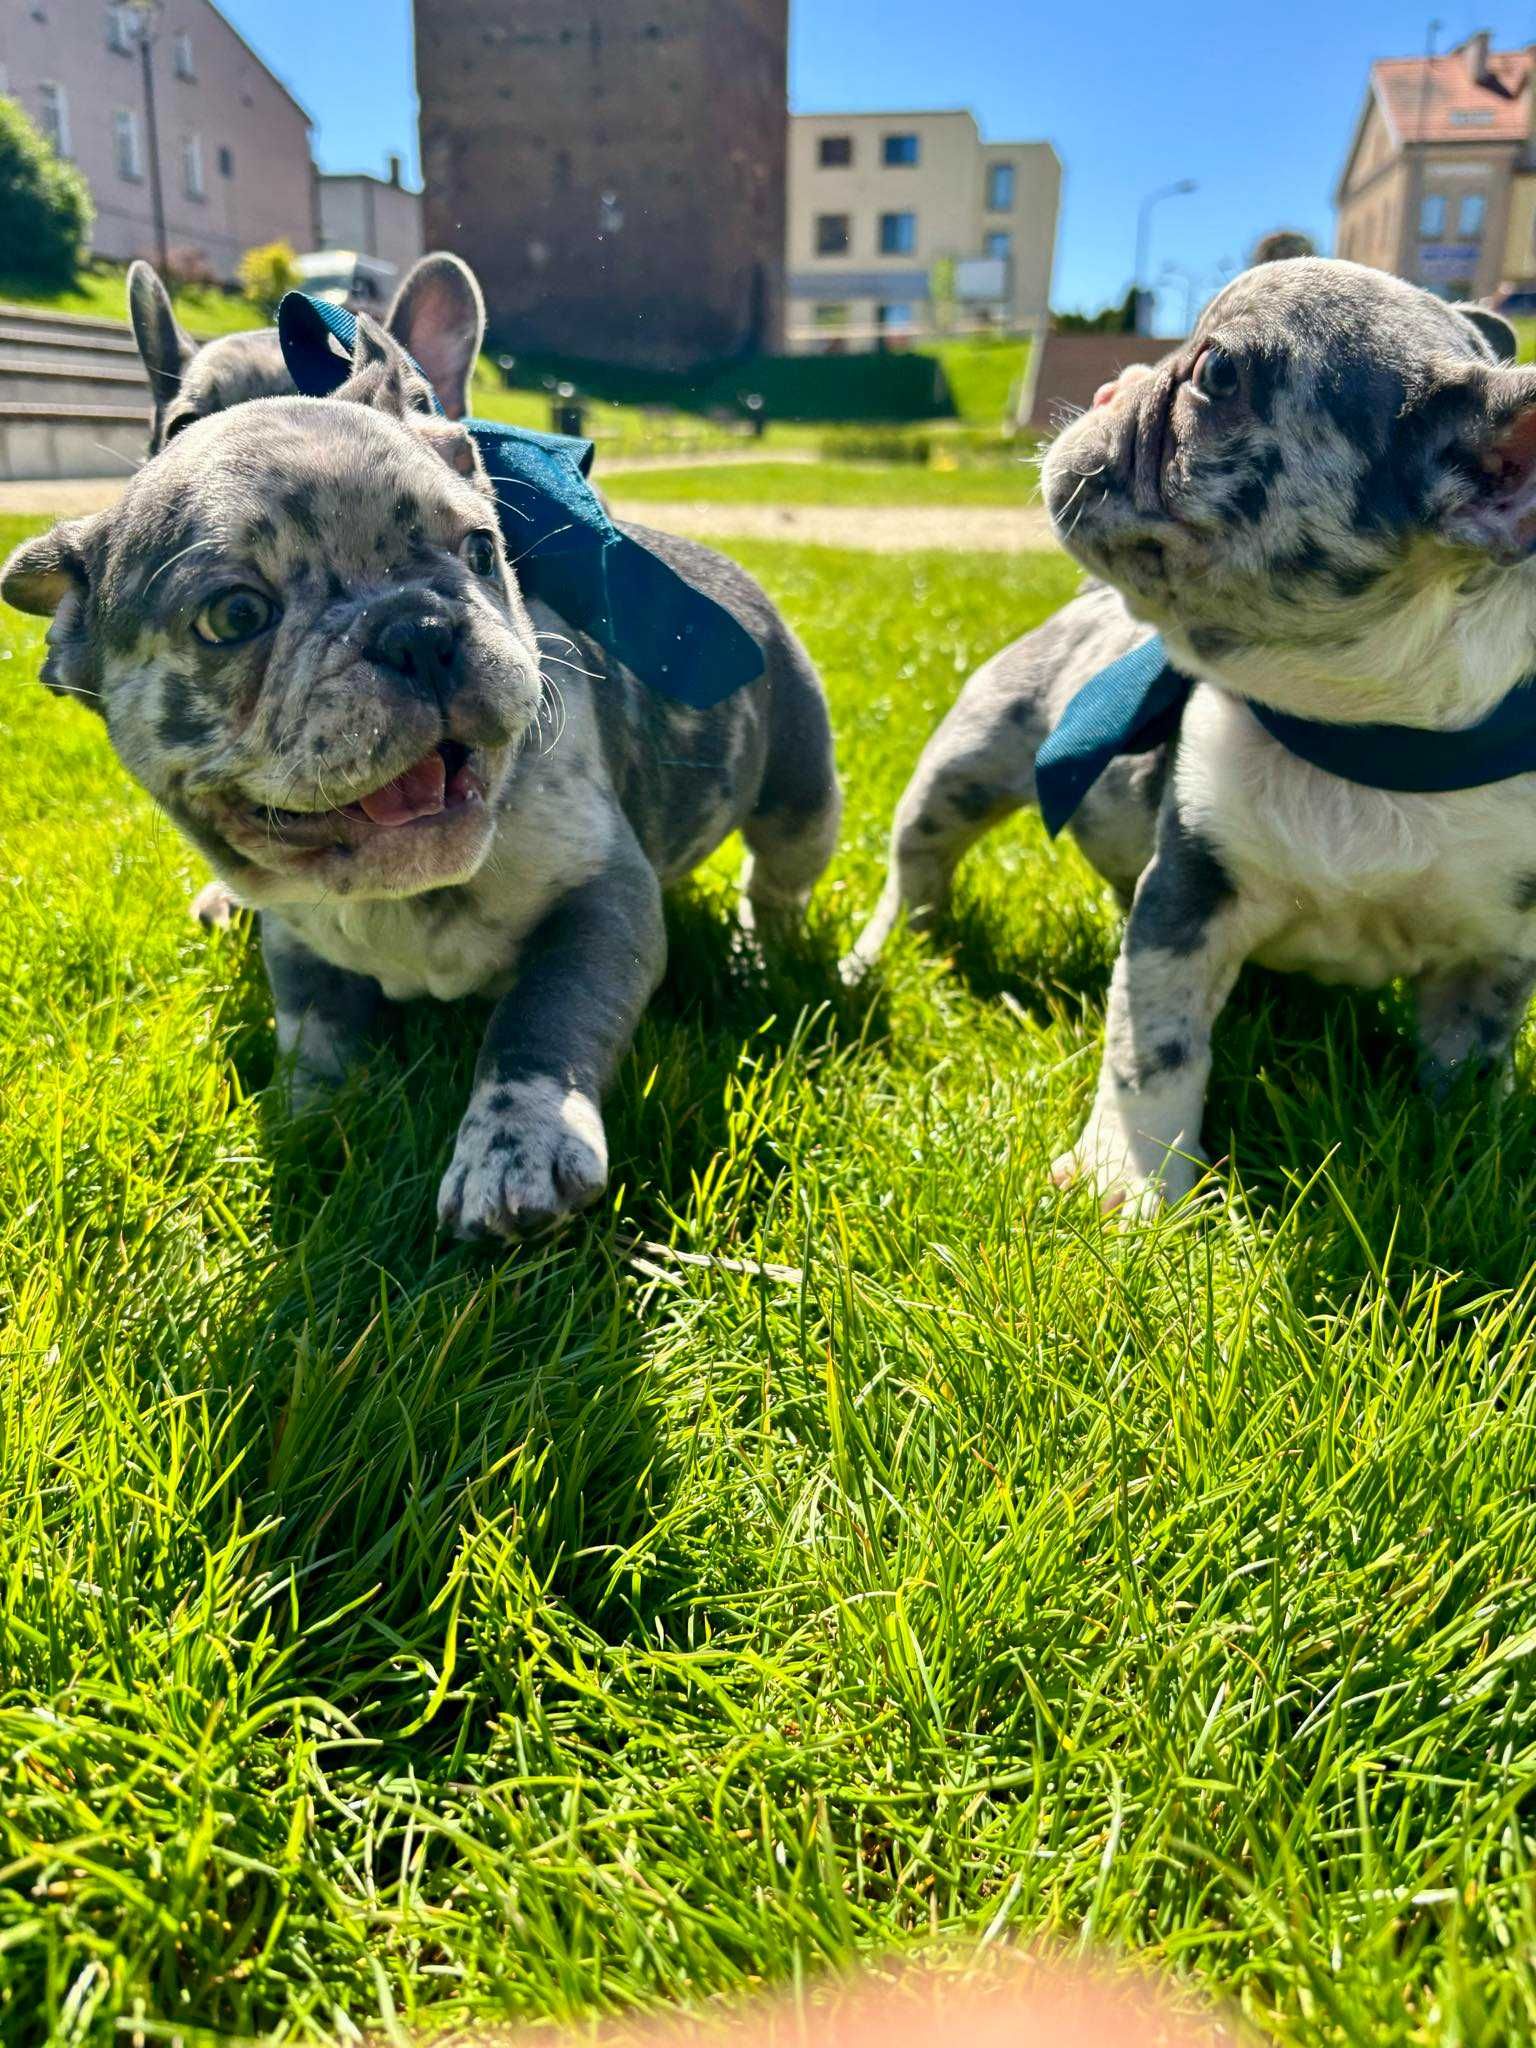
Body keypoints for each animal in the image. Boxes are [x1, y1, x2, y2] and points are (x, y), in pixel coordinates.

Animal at [0, 280, 843, 1236]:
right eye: (234, 617)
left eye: (481, 550)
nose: (418, 629)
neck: (398, 894)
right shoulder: (297, 942)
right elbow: (315, 1030)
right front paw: (313, 1119)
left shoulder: (602, 901)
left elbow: (542, 1020)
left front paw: (514, 1147)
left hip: (803, 802)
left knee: (778, 882)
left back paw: (762, 956)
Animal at [847, 256, 1536, 1212]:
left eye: (1217, 373)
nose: (1116, 382)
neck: (1360, 738)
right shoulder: (1188, 899)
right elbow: (1155, 1048)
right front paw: (1133, 1187)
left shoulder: (1491, 952)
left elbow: (1468, 1063)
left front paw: (1462, 1159)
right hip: (963, 770)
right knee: (917, 865)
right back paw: (882, 953)